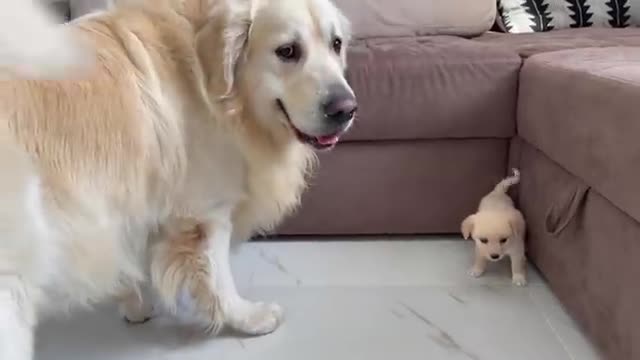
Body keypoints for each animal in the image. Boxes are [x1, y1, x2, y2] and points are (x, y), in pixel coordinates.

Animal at [0, 0, 356, 358]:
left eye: (336, 44)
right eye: (287, 51)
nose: (346, 109)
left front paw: (134, 304)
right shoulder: (206, 211)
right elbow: (219, 276)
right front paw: (247, 317)